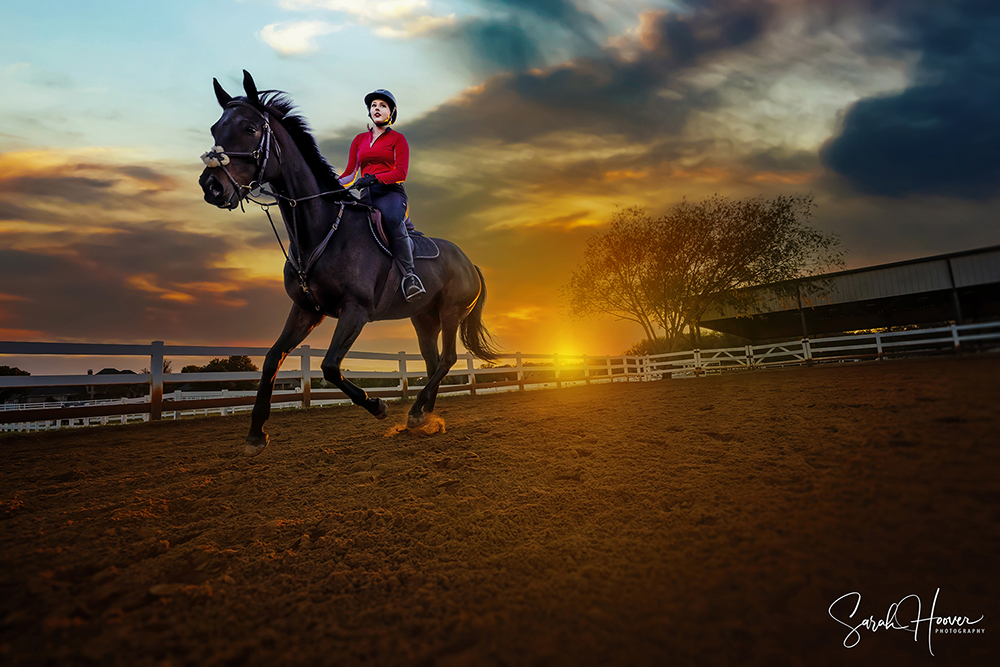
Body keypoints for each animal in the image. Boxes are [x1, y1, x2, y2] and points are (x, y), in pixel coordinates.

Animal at [199, 73, 500, 456]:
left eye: (250, 128)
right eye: (215, 128)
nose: (211, 186)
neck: (322, 230)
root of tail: (469, 262)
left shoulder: (355, 310)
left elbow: (329, 366)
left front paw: (378, 405)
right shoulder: (306, 310)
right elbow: (271, 359)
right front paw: (255, 435)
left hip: (450, 312)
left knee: (447, 359)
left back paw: (417, 412)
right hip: (423, 318)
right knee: (434, 362)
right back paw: (422, 415)